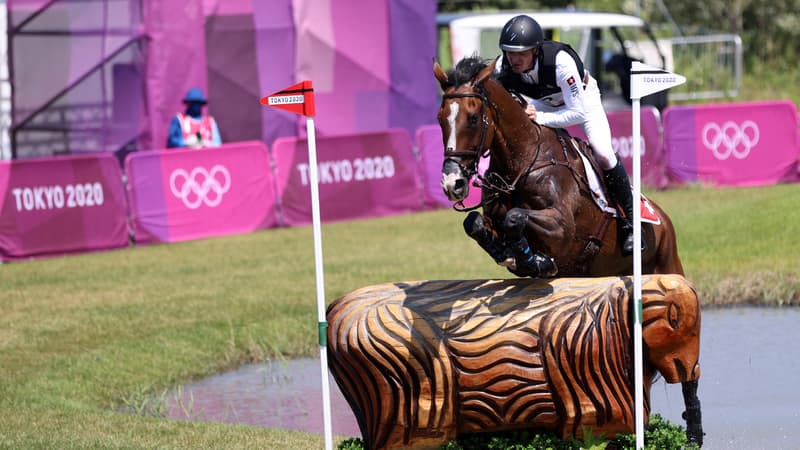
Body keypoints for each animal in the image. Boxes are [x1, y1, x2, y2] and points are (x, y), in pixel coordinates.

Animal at [434, 57, 684, 278]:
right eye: (440, 119)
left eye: (473, 119)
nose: (452, 183)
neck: (522, 163)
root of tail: (664, 220)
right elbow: (473, 222)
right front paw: (509, 254)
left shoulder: (562, 227)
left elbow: (515, 216)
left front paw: (533, 259)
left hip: (667, 265)